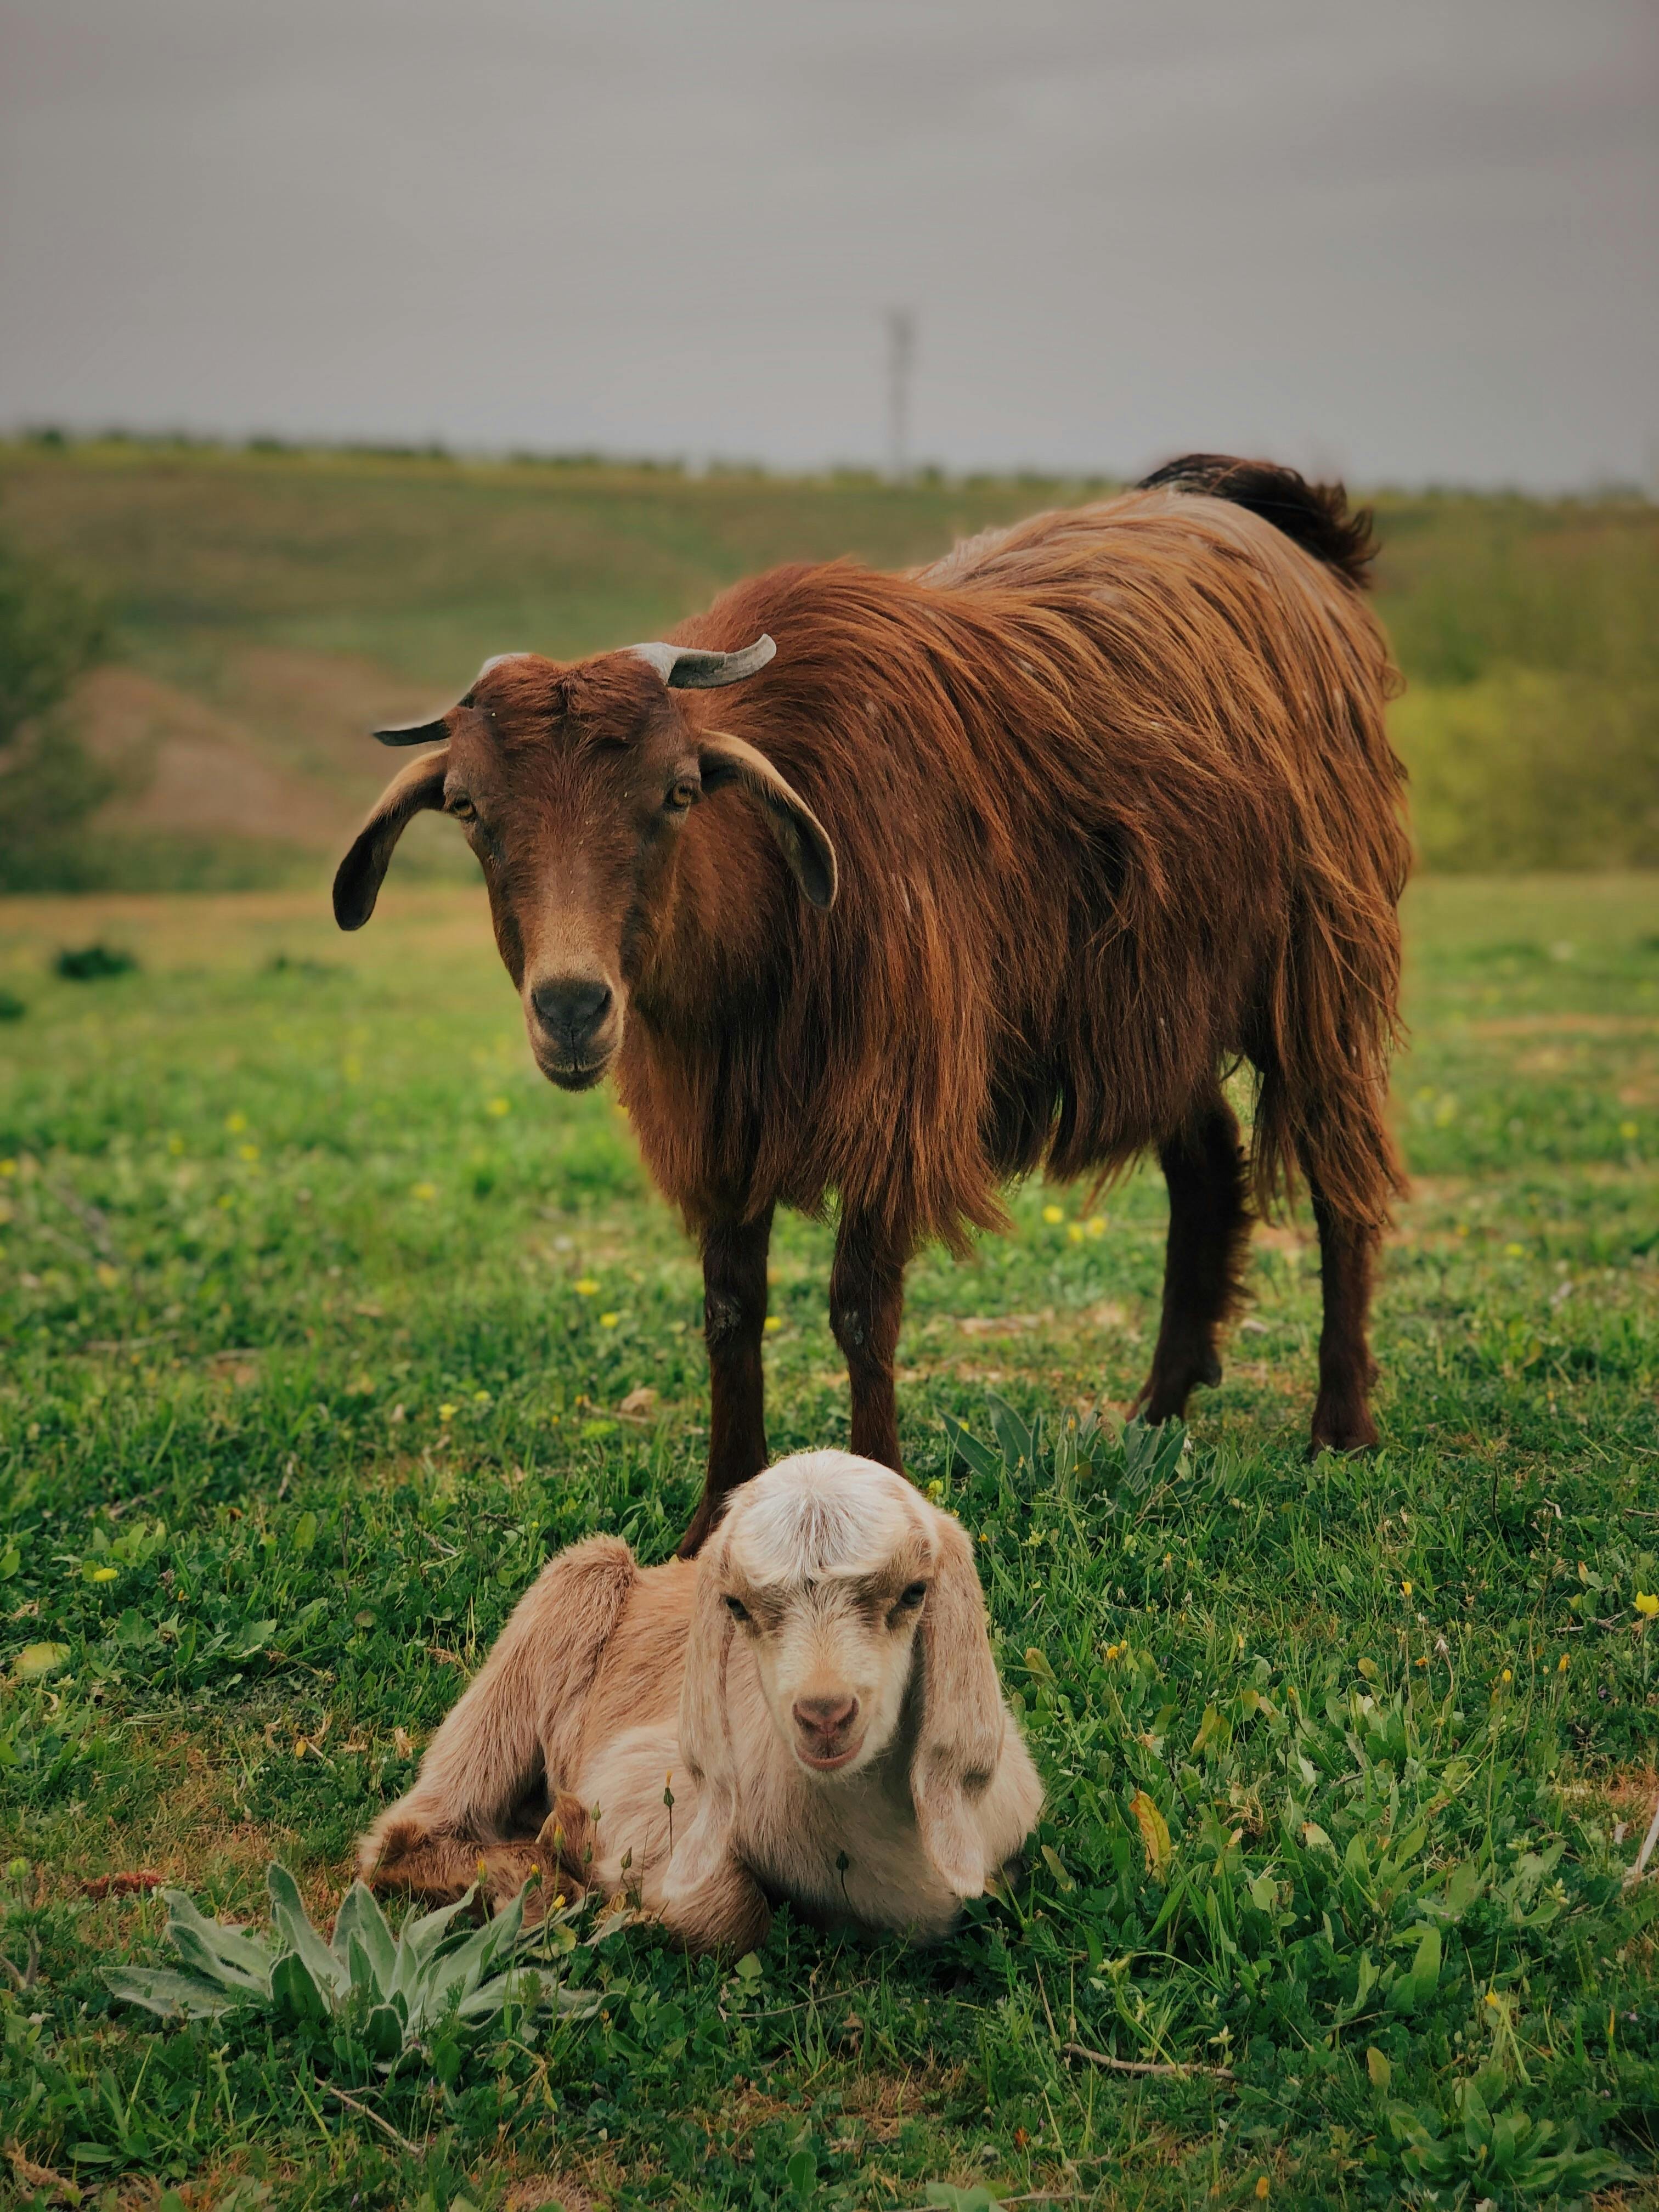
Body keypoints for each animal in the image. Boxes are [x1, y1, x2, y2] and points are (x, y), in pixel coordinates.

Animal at [336, 455, 1411, 1552]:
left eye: (678, 791)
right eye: (468, 808)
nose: (570, 1009)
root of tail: (1277, 522)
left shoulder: (896, 1092)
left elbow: (861, 1310)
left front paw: (885, 1499)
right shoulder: (720, 1115)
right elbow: (731, 1307)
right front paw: (712, 1517)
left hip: (1319, 966)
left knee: (1341, 1179)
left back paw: (1339, 1427)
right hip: (1157, 1004)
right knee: (1205, 1168)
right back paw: (1154, 1414)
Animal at [359, 1451, 1044, 1950]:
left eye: (914, 1593)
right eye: (737, 1606)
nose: (824, 1715)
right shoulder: (642, 1783)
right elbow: (735, 1913)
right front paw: (597, 1874)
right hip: (571, 1590)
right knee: (406, 1835)